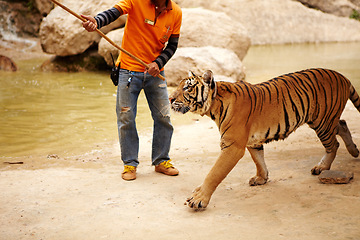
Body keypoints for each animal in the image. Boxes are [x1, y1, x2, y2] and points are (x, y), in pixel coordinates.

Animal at [169, 68, 360, 210]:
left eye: (187, 88)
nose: (170, 98)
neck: (214, 106)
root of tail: (343, 76)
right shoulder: (252, 141)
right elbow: (259, 160)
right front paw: (261, 178)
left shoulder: (232, 146)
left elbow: (214, 173)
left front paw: (199, 199)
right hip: (324, 120)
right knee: (342, 124)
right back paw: (354, 150)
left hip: (322, 121)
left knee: (333, 144)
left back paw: (323, 167)